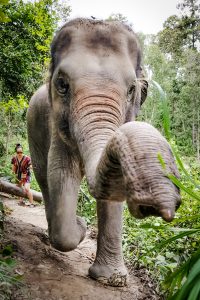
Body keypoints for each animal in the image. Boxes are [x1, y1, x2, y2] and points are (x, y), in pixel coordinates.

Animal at [26, 18, 180, 286]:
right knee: (44, 178)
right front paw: (80, 227)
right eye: (62, 85)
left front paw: (111, 279)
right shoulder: (56, 126)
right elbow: (61, 173)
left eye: (131, 90)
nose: (153, 207)